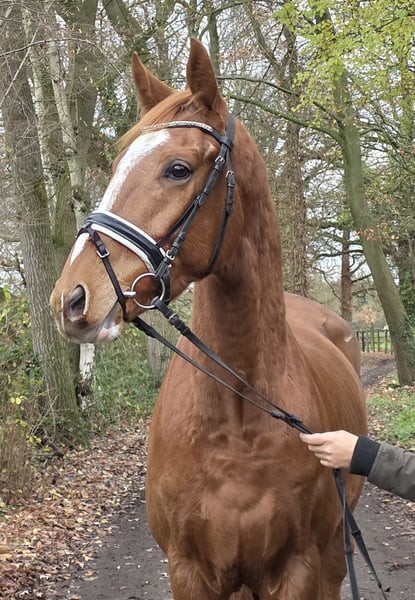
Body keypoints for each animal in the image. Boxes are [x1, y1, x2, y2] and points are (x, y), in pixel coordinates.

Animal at [50, 39, 366, 599]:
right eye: (116, 165)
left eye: (177, 169)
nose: (72, 299)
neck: (236, 417)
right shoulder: (190, 570)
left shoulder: (297, 570)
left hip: (332, 556)